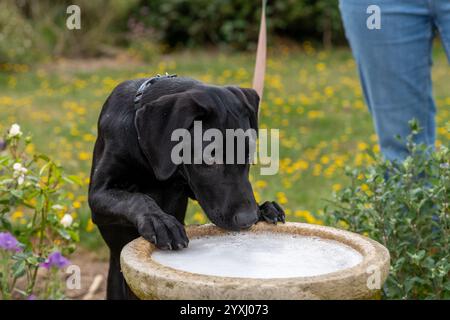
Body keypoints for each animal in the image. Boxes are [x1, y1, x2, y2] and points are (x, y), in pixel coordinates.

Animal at [88, 76, 284, 298]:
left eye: (249, 153)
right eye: (209, 158)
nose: (248, 220)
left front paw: (264, 207)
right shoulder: (98, 196)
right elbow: (136, 198)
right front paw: (160, 222)